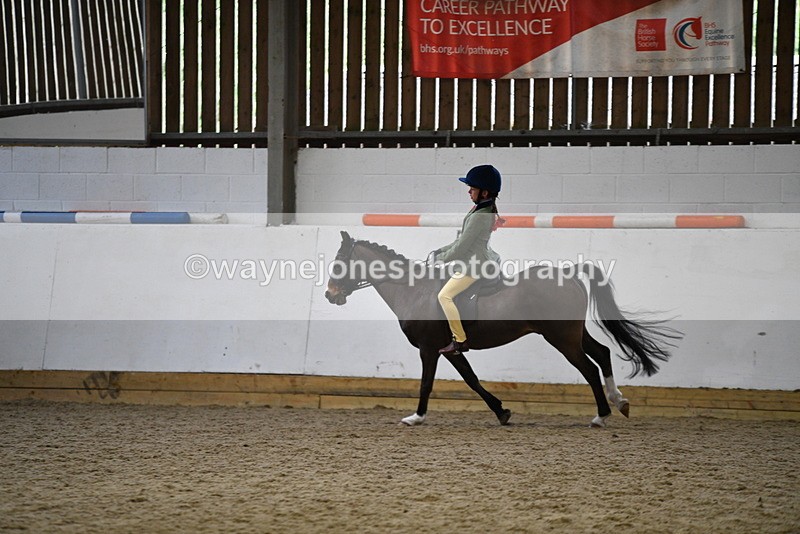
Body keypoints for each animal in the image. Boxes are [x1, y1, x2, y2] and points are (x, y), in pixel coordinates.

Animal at [324, 231, 682, 428]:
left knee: (590, 369)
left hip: (562, 339)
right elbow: (472, 380)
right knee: (603, 353)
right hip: (573, 334)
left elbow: (427, 384)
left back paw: (601, 415)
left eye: (340, 261)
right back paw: (619, 402)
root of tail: (568, 272)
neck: (414, 290)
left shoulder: (429, 349)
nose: (330, 295)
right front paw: (502, 411)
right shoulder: (450, 349)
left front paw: (417, 417)